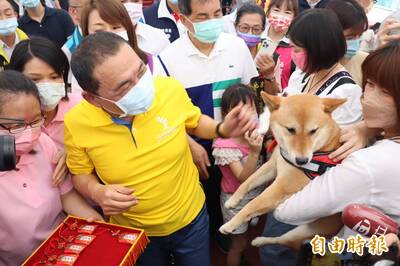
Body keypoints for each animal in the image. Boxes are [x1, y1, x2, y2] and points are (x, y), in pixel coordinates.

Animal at [219, 92, 346, 249]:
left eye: (313, 131)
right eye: (290, 129)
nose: (302, 161)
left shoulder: (281, 187)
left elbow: (252, 205)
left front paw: (230, 225)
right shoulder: (272, 165)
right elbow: (247, 182)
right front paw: (233, 200)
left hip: (304, 230)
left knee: (286, 242)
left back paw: (260, 241)